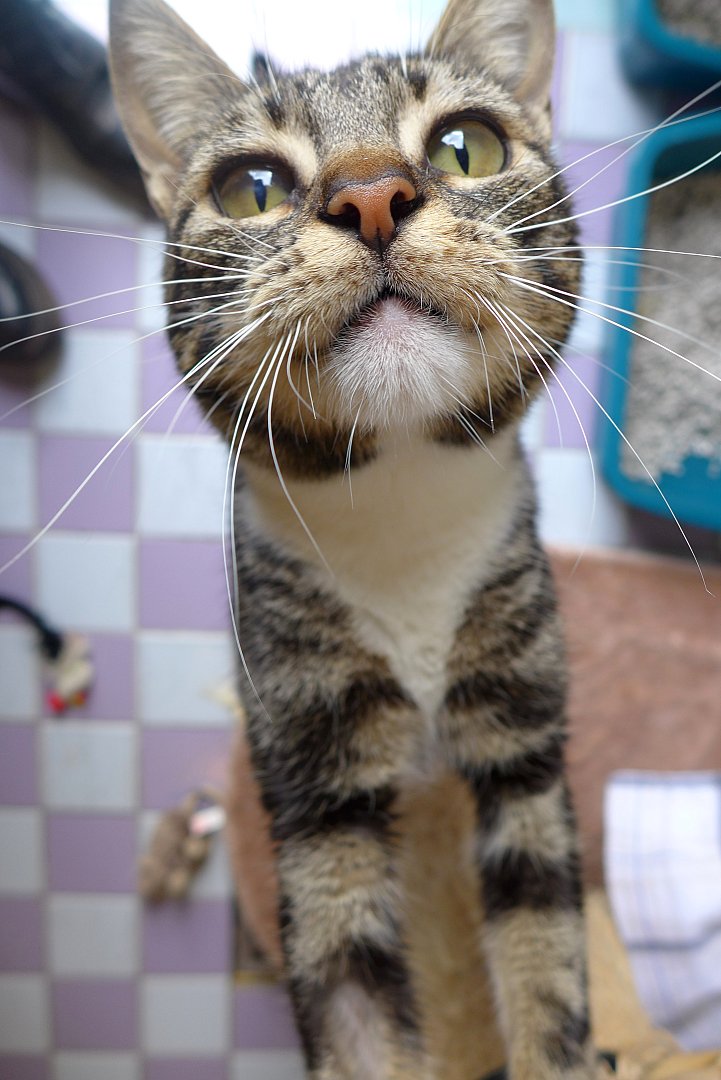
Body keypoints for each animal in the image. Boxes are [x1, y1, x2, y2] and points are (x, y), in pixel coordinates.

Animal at [108, 0, 595, 1075]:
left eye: (465, 145)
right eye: (250, 187)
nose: (372, 195)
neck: (397, 503)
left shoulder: (524, 728)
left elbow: (546, 949)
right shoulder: (307, 762)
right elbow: (347, 988)